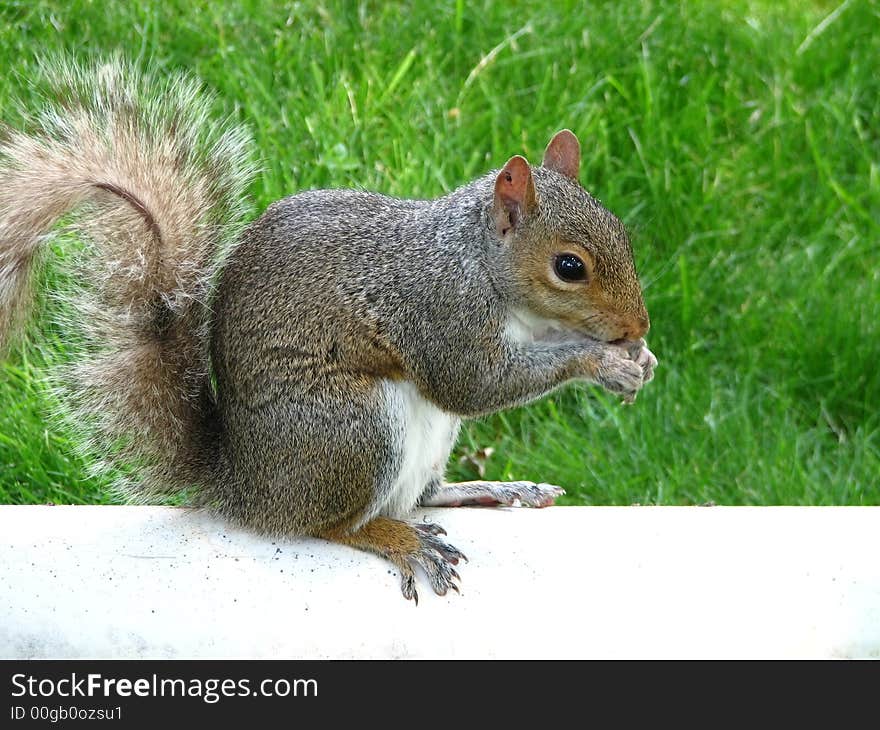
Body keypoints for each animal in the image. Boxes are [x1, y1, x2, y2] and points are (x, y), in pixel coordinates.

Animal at [0, 59, 656, 600]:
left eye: (624, 234)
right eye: (569, 267)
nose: (639, 324)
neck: (475, 260)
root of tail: (247, 488)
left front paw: (636, 359)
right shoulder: (438, 310)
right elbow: (471, 383)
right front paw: (602, 361)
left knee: (419, 495)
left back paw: (495, 490)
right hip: (352, 427)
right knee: (331, 526)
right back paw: (398, 539)